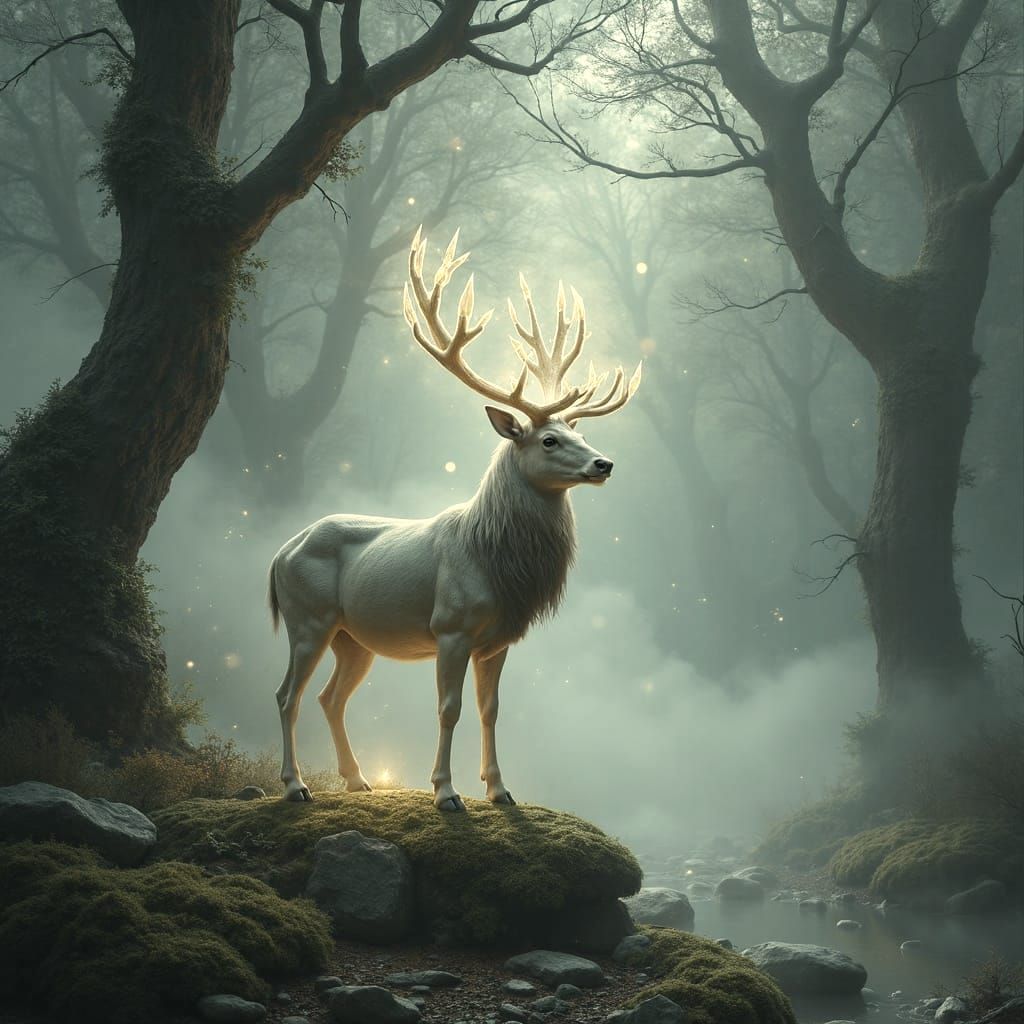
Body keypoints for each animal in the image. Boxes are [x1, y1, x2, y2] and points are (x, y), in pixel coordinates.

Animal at [268, 228, 641, 810]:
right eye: (549, 439)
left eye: (580, 434)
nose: (603, 463)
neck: (496, 560)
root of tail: (279, 554)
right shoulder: (451, 625)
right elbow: (449, 709)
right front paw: (446, 792)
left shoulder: (501, 638)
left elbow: (491, 710)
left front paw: (500, 789)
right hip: (307, 617)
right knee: (287, 694)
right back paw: (295, 785)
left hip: (354, 636)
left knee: (331, 697)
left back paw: (357, 780)